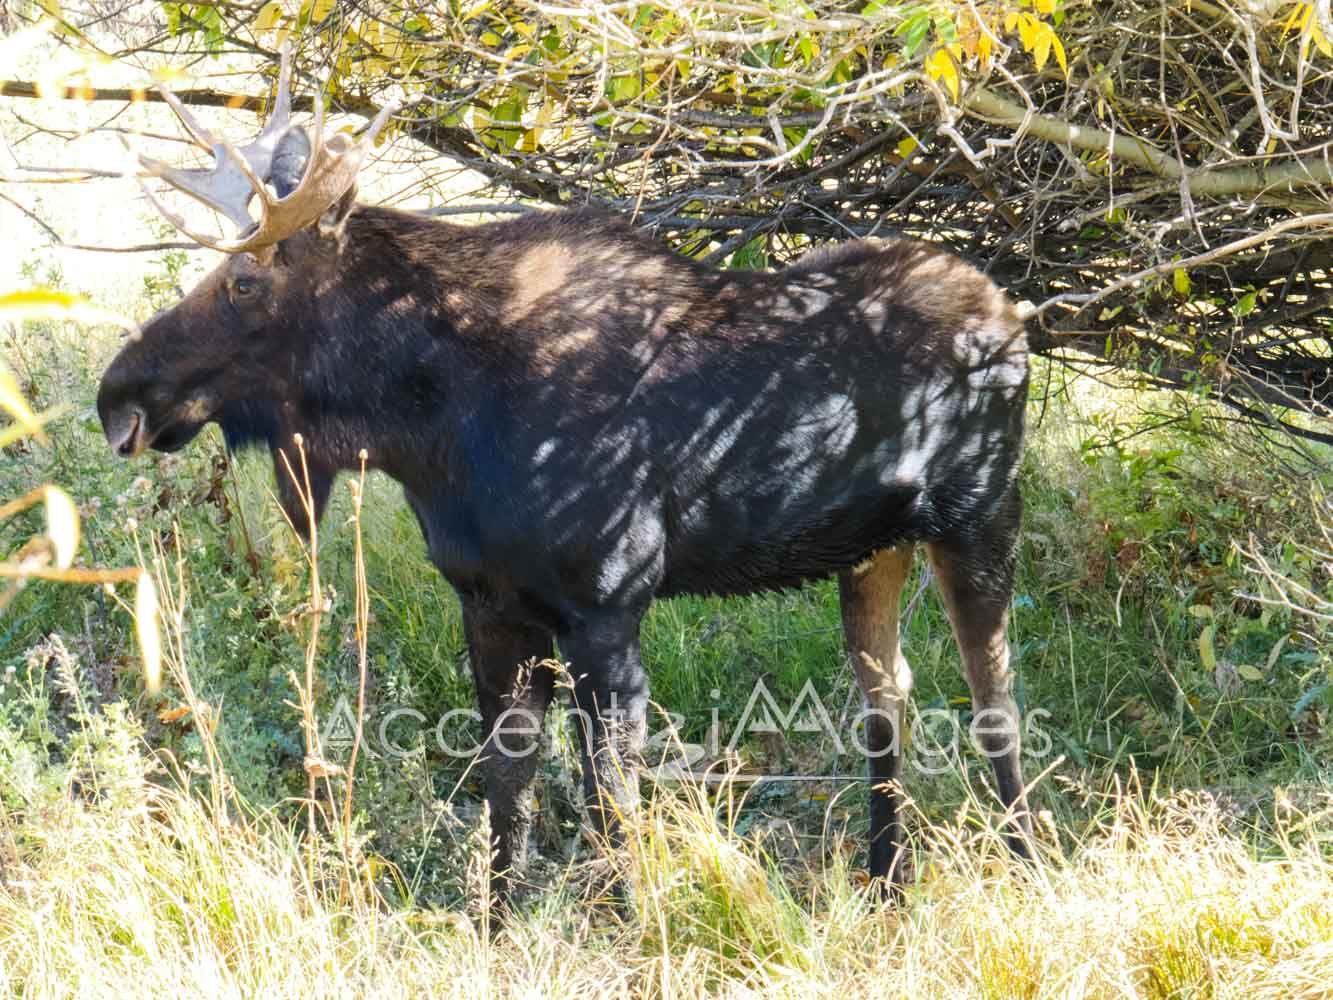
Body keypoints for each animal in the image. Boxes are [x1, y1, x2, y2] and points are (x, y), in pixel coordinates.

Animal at [96, 48, 1034, 905]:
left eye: (242, 281)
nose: (117, 398)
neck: (432, 427)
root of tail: (1010, 309)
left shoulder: (608, 606)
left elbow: (608, 802)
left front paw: (630, 930)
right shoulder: (487, 602)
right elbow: (507, 786)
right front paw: (497, 924)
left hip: (981, 514)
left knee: (992, 692)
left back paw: (1026, 863)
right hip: (871, 548)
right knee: (887, 696)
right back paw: (886, 879)